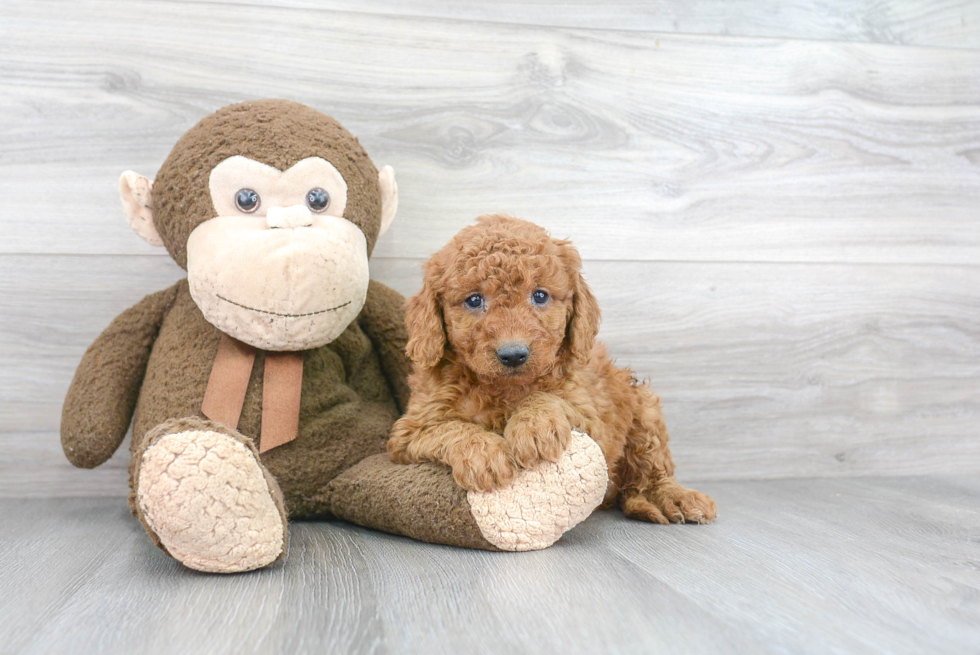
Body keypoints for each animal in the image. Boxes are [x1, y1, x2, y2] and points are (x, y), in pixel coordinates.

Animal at [386, 218, 716, 524]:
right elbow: (449, 428)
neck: (504, 389)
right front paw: (485, 456)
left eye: (540, 296)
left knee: (652, 468)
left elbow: (548, 398)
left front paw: (533, 428)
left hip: (643, 408)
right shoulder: (409, 432)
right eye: (474, 300)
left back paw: (671, 498)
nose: (513, 354)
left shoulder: (592, 418)